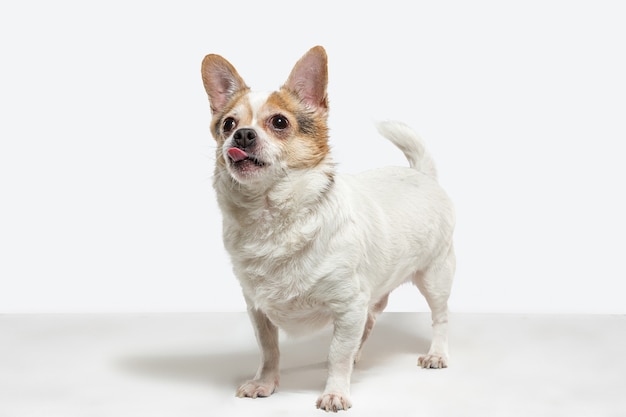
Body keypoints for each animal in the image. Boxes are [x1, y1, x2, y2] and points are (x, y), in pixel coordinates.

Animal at [200, 44, 454, 410]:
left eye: (279, 122)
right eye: (228, 124)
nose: (242, 134)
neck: (270, 216)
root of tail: (421, 174)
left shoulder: (348, 306)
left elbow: (337, 354)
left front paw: (335, 391)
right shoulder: (259, 310)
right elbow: (269, 350)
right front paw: (265, 383)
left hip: (435, 276)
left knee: (440, 316)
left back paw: (436, 354)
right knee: (371, 319)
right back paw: (360, 355)